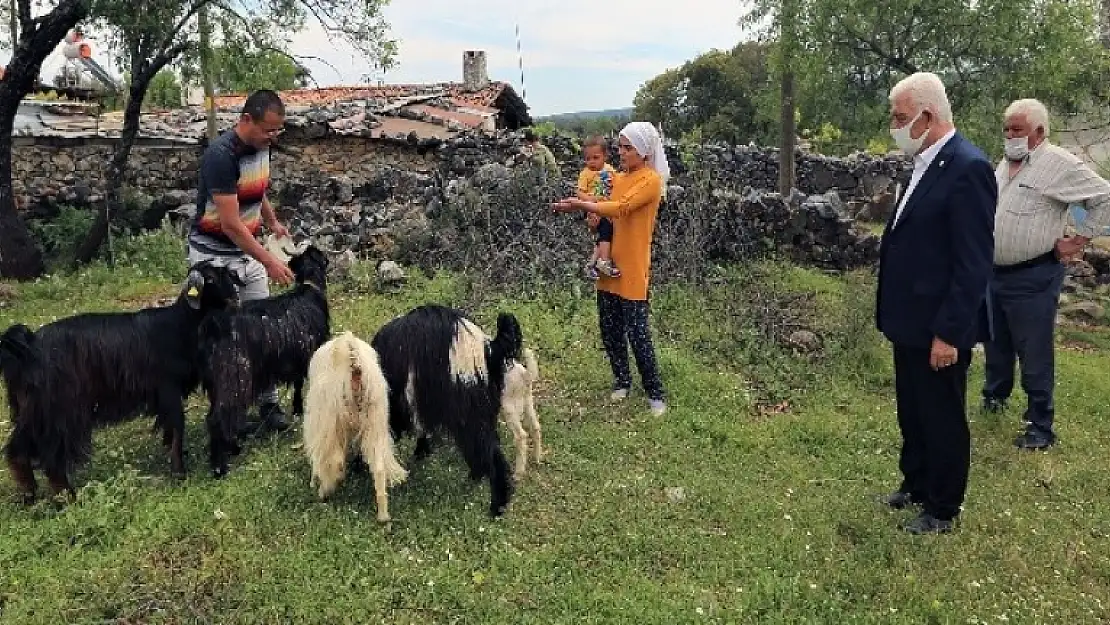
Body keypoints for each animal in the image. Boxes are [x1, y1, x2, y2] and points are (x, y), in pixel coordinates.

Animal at [0, 261, 241, 501]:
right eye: (210, 278)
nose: (235, 298)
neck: (180, 324)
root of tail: (28, 346)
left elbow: (169, 428)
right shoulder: (167, 388)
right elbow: (177, 426)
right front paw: (179, 471)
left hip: (34, 409)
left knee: (18, 449)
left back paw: (29, 495)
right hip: (59, 409)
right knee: (50, 455)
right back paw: (68, 497)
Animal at [198, 245, 328, 479]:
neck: (309, 288)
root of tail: (213, 325)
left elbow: (297, 383)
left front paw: (297, 409)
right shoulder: (310, 355)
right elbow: (300, 384)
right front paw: (300, 409)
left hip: (217, 380)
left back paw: (232, 447)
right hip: (234, 375)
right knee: (217, 418)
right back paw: (220, 467)